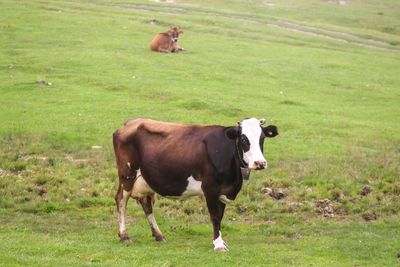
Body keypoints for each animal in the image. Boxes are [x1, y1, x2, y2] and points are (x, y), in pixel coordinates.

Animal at [112, 118, 278, 252]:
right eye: (243, 139)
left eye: (262, 138)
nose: (260, 163)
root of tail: (130, 123)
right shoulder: (210, 189)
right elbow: (214, 217)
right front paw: (218, 244)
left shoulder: (223, 191)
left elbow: (220, 216)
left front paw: (220, 241)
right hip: (127, 175)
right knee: (121, 200)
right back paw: (124, 236)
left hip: (146, 180)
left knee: (146, 204)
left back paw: (159, 235)